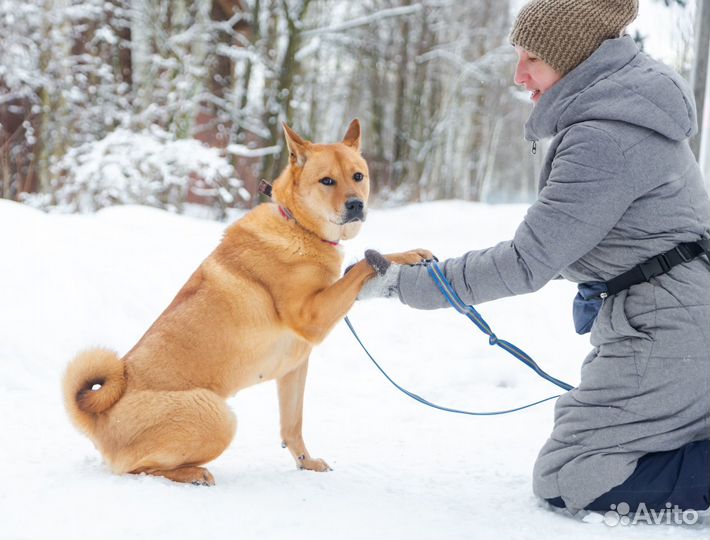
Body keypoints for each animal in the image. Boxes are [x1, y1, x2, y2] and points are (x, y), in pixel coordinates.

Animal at [65, 120, 434, 488]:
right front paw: (407, 256)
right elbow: (362, 265)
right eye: (327, 181)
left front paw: (306, 463)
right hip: (217, 415)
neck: (298, 226)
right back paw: (192, 473)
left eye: (358, 176)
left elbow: (292, 425)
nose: (356, 204)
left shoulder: (294, 369)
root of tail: (99, 419)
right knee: (139, 468)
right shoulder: (313, 316)